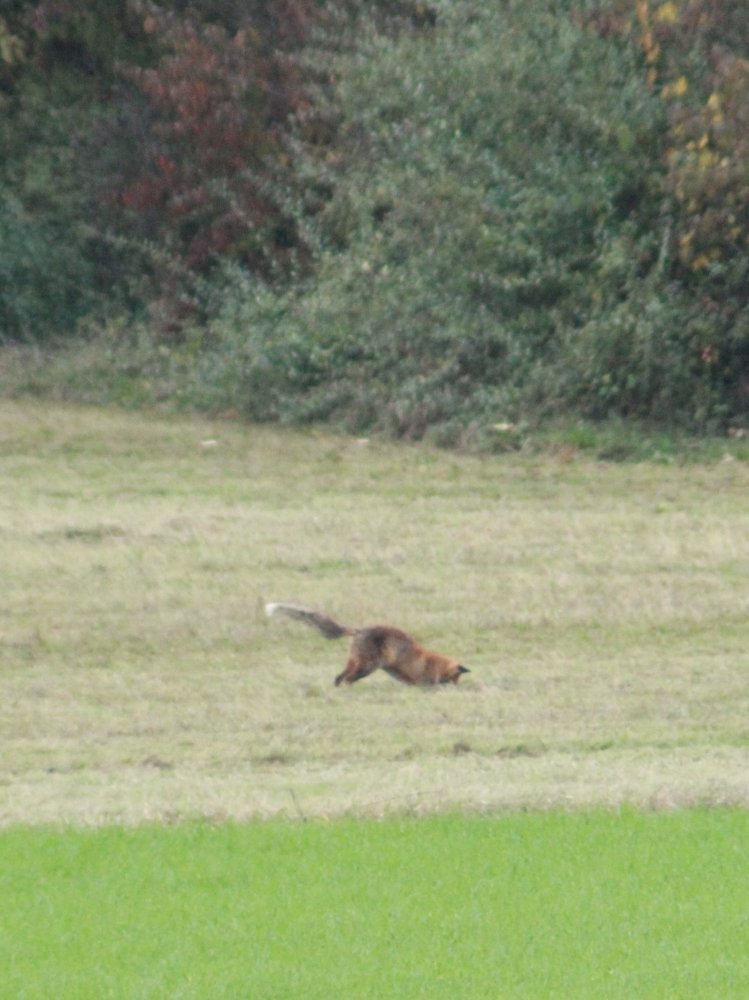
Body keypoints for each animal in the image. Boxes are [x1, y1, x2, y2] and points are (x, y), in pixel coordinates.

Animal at [265, 603, 470, 687]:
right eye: (457, 677)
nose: (457, 688)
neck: (434, 662)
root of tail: (359, 630)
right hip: (368, 666)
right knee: (347, 679)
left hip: (355, 663)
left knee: (338, 678)